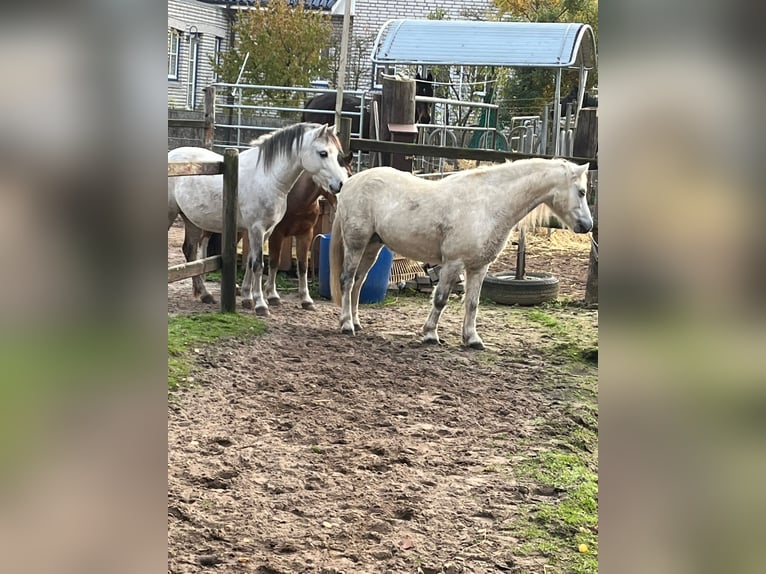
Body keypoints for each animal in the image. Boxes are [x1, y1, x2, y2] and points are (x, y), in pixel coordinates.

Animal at [170, 123, 350, 318]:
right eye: (323, 153)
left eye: (338, 154)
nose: (341, 184)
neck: (267, 178)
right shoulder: (257, 229)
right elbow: (258, 264)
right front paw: (261, 305)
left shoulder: (268, 231)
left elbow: (252, 262)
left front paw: (250, 298)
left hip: (191, 221)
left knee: (190, 253)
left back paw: (205, 294)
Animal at [330, 159, 592, 352]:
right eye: (581, 192)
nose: (587, 226)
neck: (488, 205)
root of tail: (350, 182)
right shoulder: (453, 264)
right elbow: (440, 299)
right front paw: (430, 335)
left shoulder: (479, 267)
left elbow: (472, 303)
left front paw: (472, 339)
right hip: (356, 245)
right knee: (348, 280)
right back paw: (346, 325)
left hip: (372, 247)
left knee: (358, 283)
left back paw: (355, 322)